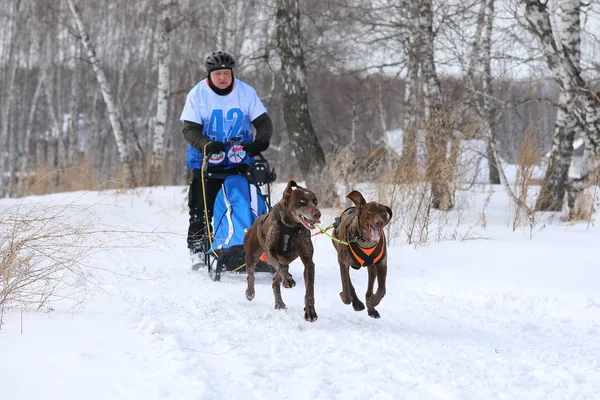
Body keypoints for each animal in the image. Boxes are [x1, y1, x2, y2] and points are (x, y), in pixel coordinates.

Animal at [243, 180, 322, 322]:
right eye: (302, 201)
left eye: (315, 201)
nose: (317, 214)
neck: (291, 226)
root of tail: (254, 223)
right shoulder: (270, 253)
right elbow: (279, 265)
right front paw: (288, 280)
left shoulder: (308, 262)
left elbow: (309, 291)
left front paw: (310, 311)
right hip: (251, 256)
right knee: (251, 275)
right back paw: (250, 292)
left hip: (286, 260)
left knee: (276, 281)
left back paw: (279, 302)